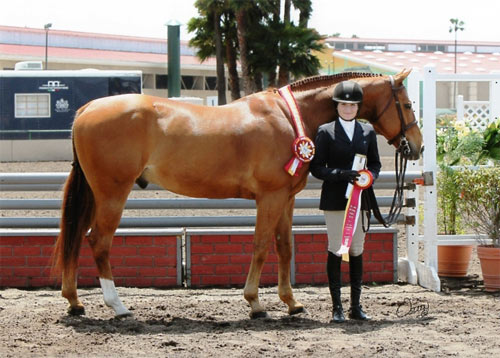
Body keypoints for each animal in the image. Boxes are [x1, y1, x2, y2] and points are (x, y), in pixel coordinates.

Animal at [53, 69, 422, 318]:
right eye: (406, 103)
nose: (416, 147)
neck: (290, 117)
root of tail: (87, 109)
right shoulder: (270, 198)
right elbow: (260, 246)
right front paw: (255, 302)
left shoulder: (285, 199)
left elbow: (284, 247)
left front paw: (292, 303)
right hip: (112, 193)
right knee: (98, 240)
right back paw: (117, 306)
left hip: (95, 193)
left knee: (76, 237)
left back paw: (75, 302)